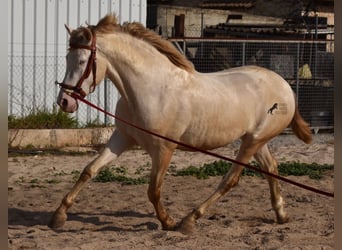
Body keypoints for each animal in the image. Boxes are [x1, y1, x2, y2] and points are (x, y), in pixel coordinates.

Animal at [50, 14, 312, 234]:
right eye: (67, 58)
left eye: (82, 61)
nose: (64, 101)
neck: (151, 89)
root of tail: (283, 85)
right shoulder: (122, 138)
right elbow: (89, 170)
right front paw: (59, 216)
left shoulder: (164, 149)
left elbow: (153, 190)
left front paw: (168, 222)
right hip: (255, 140)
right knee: (271, 168)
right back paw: (281, 214)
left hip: (252, 142)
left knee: (230, 180)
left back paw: (190, 220)